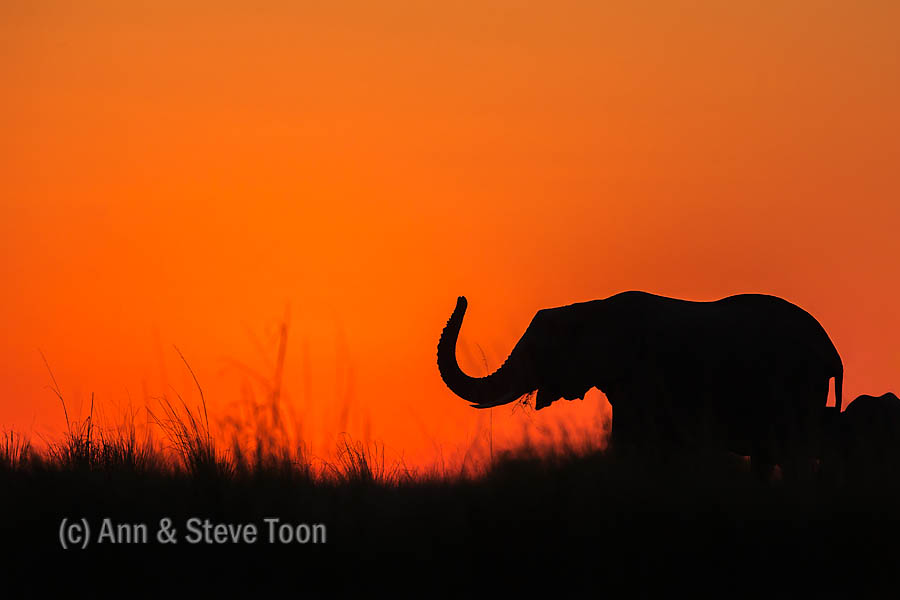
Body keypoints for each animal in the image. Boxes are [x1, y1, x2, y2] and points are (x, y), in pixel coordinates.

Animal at [437, 292, 843, 469]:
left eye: (539, 351)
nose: (462, 297)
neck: (591, 308)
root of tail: (832, 353)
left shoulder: (641, 377)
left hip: (796, 386)